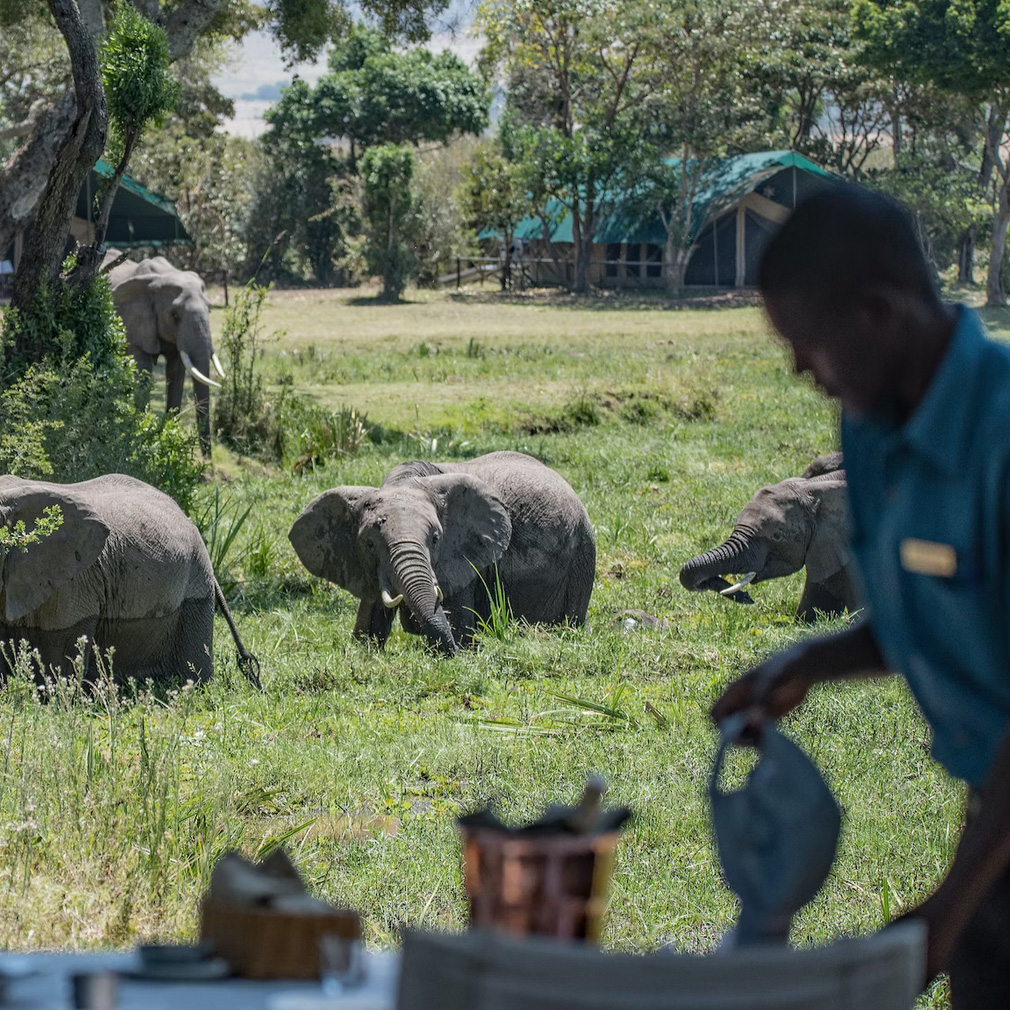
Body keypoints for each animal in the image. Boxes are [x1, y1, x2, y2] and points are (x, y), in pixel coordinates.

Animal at [111, 254, 228, 456]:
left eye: (210, 309)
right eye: (174, 316)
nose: (207, 460)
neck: (160, 277)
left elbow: (176, 374)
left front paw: (168, 435)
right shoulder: (135, 324)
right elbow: (143, 371)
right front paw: (140, 435)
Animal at [288, 450, 593, 654]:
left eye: (435, 539)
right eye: (369, 544)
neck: (407, 481)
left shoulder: (463, 559)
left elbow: (459, 618)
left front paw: (458, 649)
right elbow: (371, 614)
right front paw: (366, 649)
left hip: (582, 552)